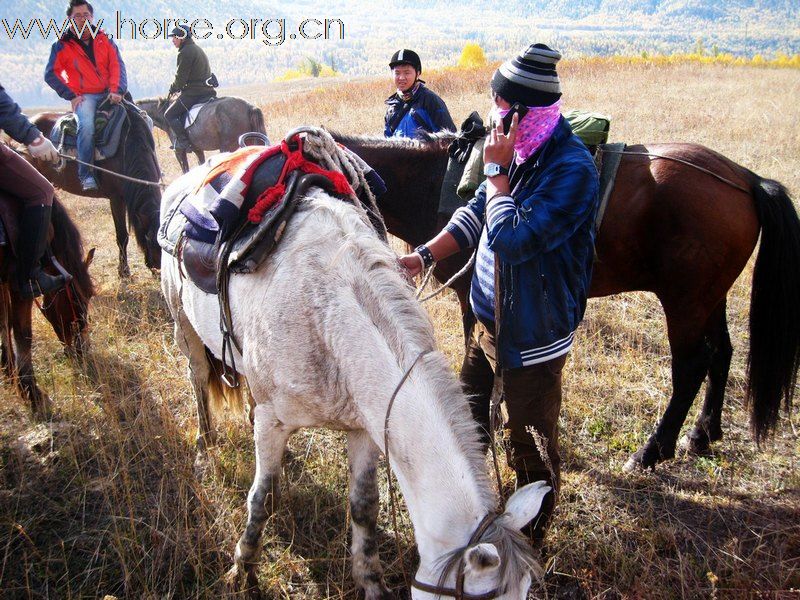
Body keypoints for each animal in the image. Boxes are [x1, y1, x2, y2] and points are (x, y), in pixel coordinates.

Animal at [0, 195, 95, 420]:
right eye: (79, 299)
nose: (83, 349)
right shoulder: (18, 286)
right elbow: (22, 334)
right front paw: (33, 394)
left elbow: (4, 325)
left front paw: (9, 373)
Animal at [136, 95, 264, 171]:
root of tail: (249, 107)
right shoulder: (198, 149)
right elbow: (201, 164)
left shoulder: (179, 152)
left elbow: (185, 171)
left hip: (228, 146)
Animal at [159, 171, 552, 596]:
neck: (328, 320)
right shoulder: (274, 422)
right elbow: (260, 499)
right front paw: (243, 566)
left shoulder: (366, 428)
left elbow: (364, 507)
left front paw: (370, 581)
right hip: (184, 328)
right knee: (198, 379)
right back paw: (204, 446)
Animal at [336, 134, 800, 472]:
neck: (437, 182)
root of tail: (744, 179)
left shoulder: (474, 301)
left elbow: (477, 364)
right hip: (709, 298)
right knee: (722, 353)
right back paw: (704, 433)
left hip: (684, 301)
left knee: (690, 367)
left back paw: (653, 450)